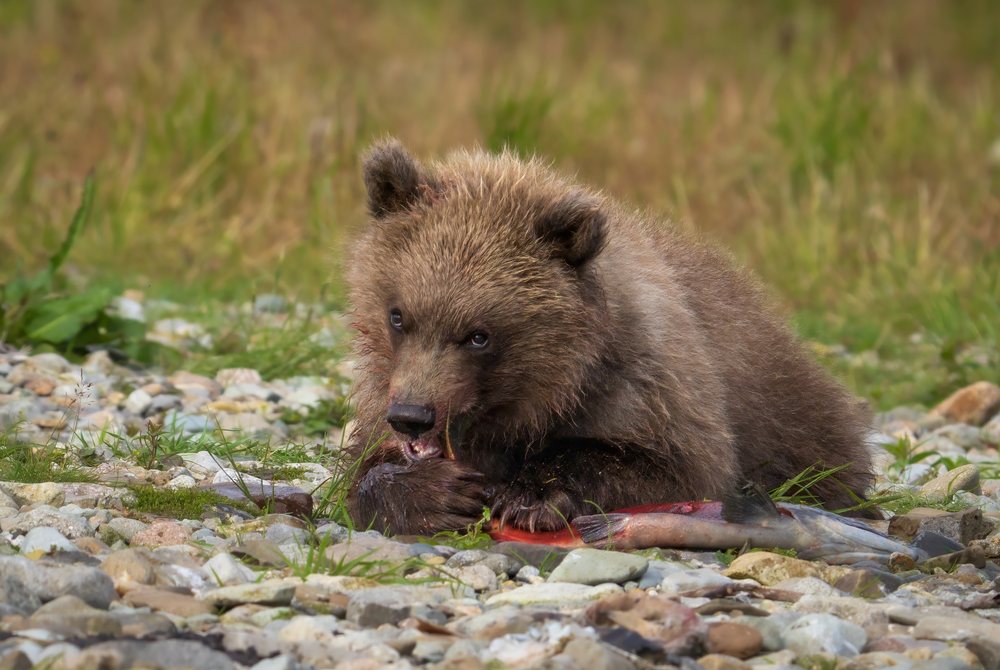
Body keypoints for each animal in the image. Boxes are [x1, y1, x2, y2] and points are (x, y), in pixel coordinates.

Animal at [345, 138, 874, 536]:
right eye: (398, 315)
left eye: (479, 335)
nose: (413, 415)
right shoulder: (383, 391)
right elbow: (362, 466)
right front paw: (434, 494)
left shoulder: (648, 384)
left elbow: (671, 467)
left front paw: (532, 495)